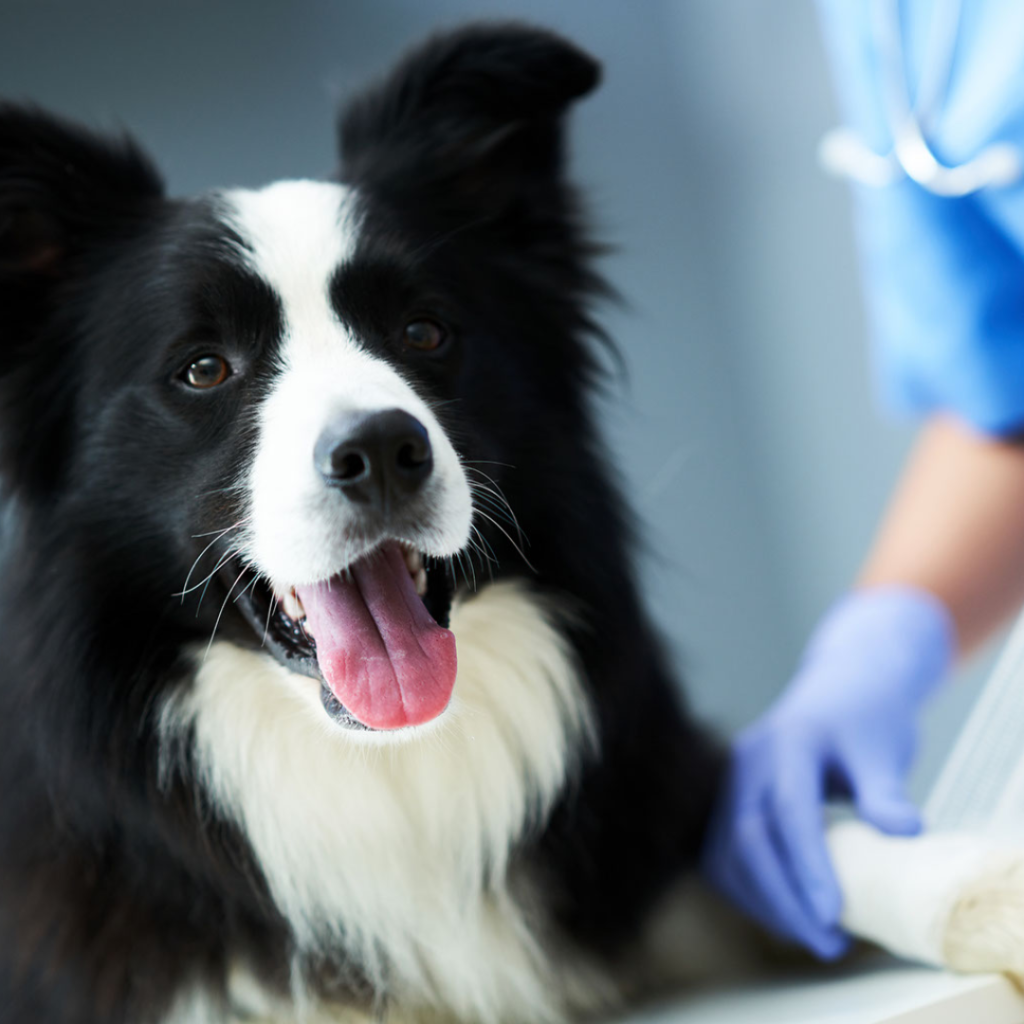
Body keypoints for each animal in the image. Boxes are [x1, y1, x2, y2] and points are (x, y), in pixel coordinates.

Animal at [2, 19, 1024, 1024]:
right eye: (204, 368)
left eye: (424, 331)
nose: (382, 450)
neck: (387, 763)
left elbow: (799, 835)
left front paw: (980, 889)